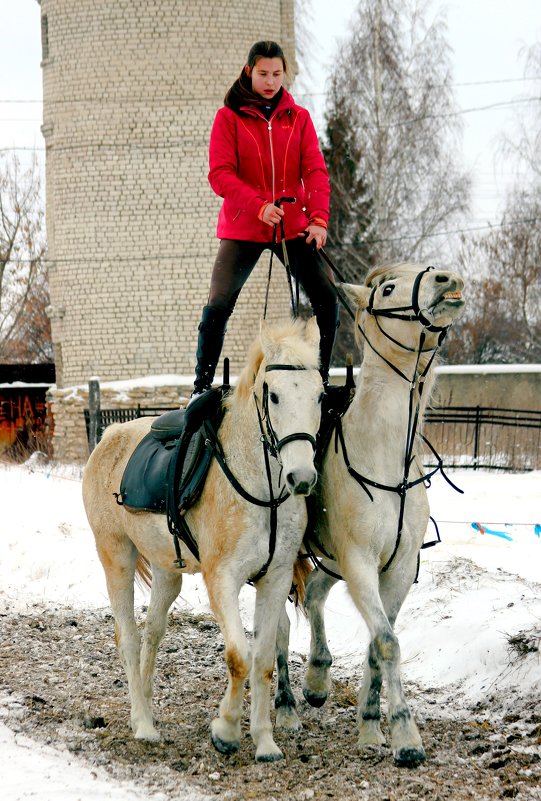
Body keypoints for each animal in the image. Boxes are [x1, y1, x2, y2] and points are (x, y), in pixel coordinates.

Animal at [82, 316, 322, 760]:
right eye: (275, 396)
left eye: (320, 395)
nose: (301, 478)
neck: (262, 488)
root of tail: (108, 436)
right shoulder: (222, 579)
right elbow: (239, 656)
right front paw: (226, 730)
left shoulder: (275, 579)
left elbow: (264, 659)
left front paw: (265, 741)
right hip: (116, 557)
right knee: (128, 637)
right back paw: (143, 724)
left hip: (167, 570)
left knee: (153, 632)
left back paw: (145, 707)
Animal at [274, 260, 464, 764]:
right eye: (390, 288)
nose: (448, 279)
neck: (385, 456)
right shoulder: (359, 562)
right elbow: (387, 641)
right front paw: (405, 735)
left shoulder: (396, 570)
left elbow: (381, 643)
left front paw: (370, 725)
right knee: (278, 625)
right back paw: (285, 708)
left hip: (331, 560)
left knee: (314, 595)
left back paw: (317, 678)